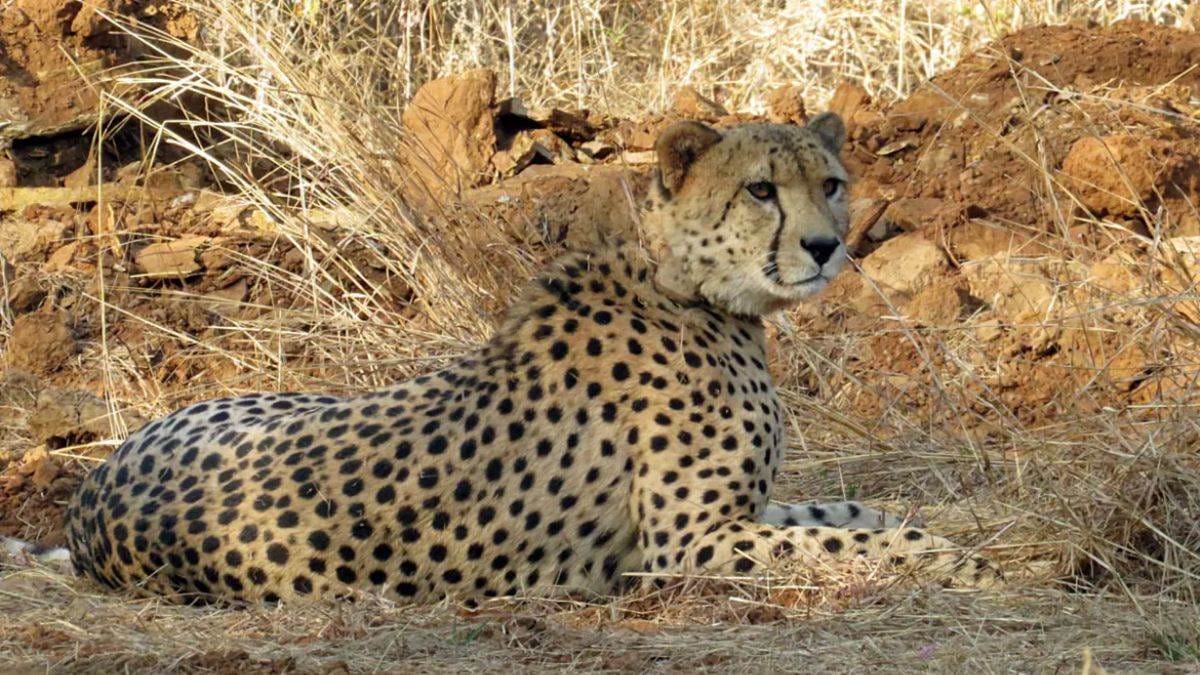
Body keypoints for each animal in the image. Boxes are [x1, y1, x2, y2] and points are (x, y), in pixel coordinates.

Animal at [62, 112, 1001, 605]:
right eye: (761, 190)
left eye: (831, 183)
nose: (824, 246)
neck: (690, 287)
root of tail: (86, 502)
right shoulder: (682, 544)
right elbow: (845, 541)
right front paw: (958, 562)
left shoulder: (740, 513)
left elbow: (852, 512)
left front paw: (940, 538)